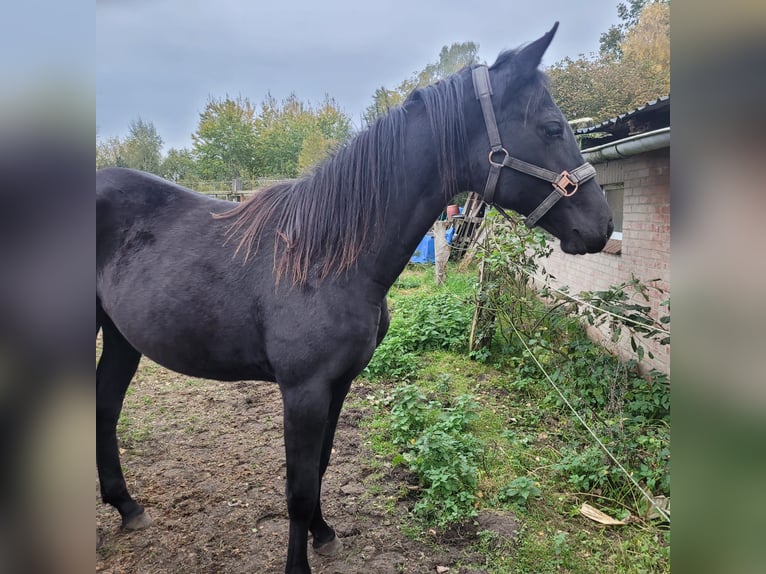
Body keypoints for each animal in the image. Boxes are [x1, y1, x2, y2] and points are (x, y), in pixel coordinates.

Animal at [96, 25, 616, 574]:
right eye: (552, 128)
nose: (602, 225)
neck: (327, 258)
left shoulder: (339, 383)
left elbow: (321, 466)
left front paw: (324, 533)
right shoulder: (302, 392)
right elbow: (298, 488)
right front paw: (299, 564)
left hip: (121, 338)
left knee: (105, 407)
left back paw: (127, 507)